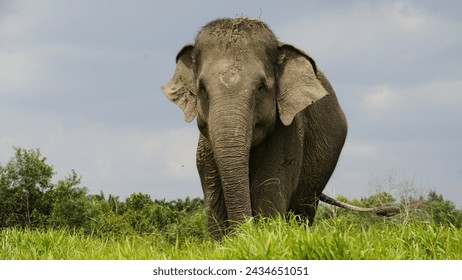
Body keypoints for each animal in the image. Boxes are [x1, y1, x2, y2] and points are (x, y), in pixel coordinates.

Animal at [162, 17, 398, 238]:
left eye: (260, 87)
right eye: (202, 88)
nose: (391, 211)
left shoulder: (289, 133)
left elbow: (268, 193)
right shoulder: (206, 145)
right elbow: (214, 200)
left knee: (303, 211)